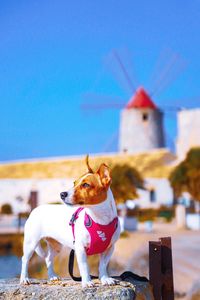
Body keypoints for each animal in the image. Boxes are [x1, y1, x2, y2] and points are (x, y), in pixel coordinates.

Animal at [20, 156, 120, 288]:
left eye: (86, 185)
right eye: (74, 183)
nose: (62, 194)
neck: (98, 218)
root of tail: (35, 209)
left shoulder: (109, 249)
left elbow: (102, 266)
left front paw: (105, 279)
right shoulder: (80, 248)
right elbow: (84, 267)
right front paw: (87, 281)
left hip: (56, 246)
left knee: (48, 259)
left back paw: (52, 276)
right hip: (31, 243)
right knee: (25, 259)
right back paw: (24, 278)